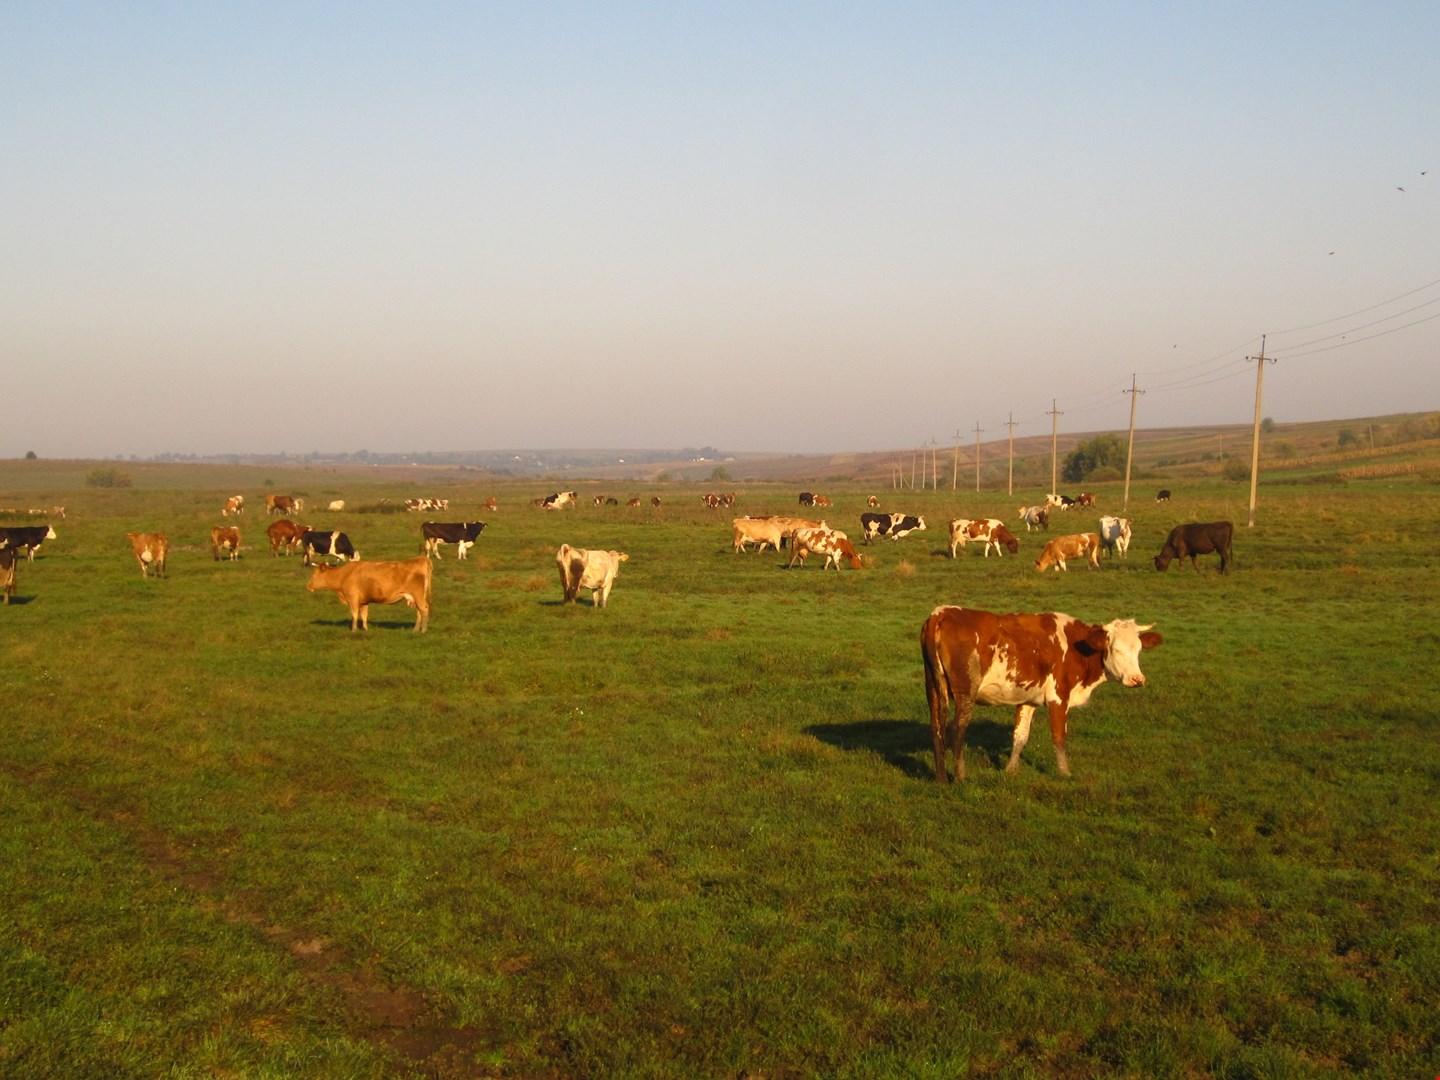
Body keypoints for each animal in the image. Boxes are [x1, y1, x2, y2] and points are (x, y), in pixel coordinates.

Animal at [921, 604, 1157, 783]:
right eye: (1116, 649)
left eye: (1138, 649)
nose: (1137, 679)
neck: (1077, 647)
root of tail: (941, 613)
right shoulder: (1058, 697)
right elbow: (1059, 736)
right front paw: (1065, 772)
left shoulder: (1029, 700)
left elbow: (1020, 736)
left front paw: (1010, 770)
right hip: (965, 693)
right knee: (957, 729)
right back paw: (960, 776)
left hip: (932, 687)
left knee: (936, 728)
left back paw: (941, 778)